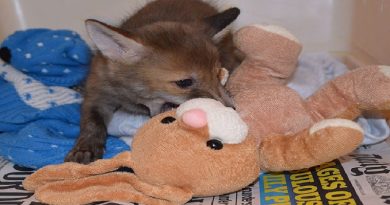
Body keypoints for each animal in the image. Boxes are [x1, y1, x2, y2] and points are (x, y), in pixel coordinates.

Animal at [65, 0, 241, 163]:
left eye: (218, 73)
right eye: (184, 82)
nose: (231, 108)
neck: (134, 99)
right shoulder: (99, 90)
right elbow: (92, 123)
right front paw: (85, 147)